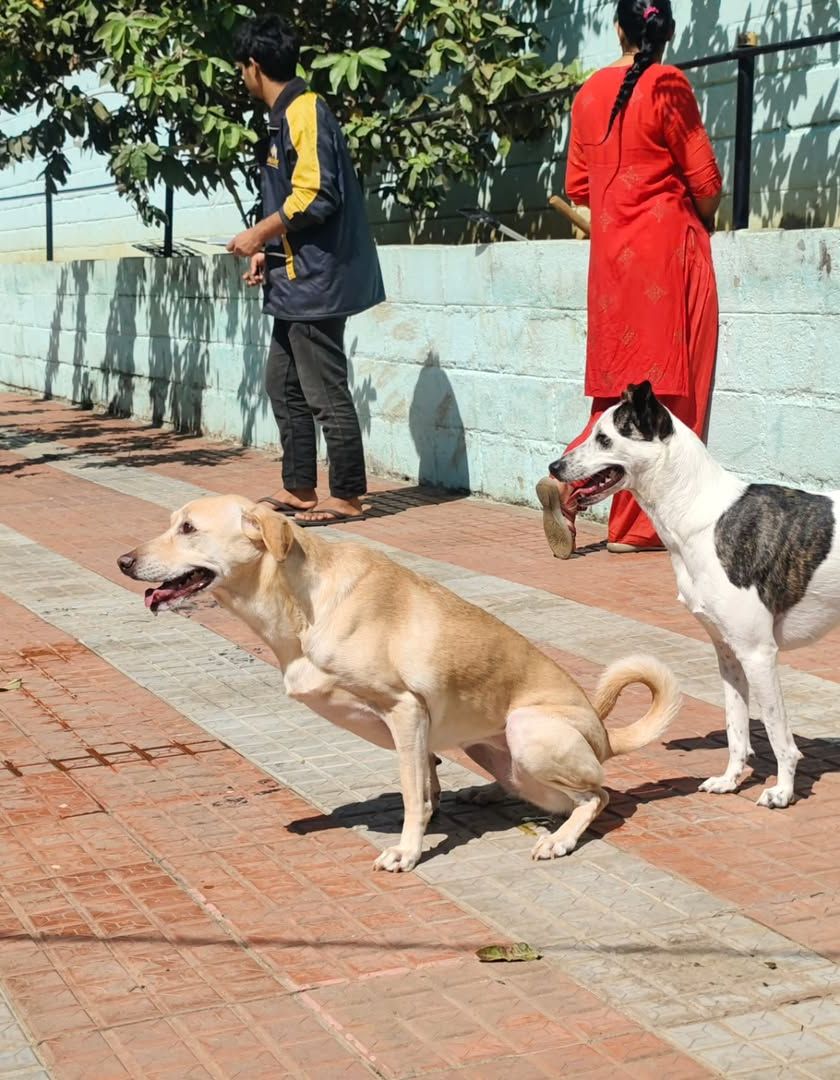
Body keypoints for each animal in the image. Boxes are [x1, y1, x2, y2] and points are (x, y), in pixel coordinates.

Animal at [118, 495, 680, 870]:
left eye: (188, 528)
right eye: (172, 523)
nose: (122, 561)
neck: (301, 603)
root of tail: (605, 736)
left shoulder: (405, 710)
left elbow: (412, 793)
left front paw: (409, 850)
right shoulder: (414, 725)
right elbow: (426, 782)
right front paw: (434, 812)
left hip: (528, 730)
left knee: (598, 796)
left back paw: (559, 839)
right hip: (500, 756)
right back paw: (490, 797)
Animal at [550, 380, 840, 809]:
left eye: (604, 438)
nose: (554, 467)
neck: (701, 513)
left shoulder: (758, 653)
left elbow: (778, 734)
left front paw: (783, 792)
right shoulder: (729, 654)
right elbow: (736, 730)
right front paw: (730, 781)